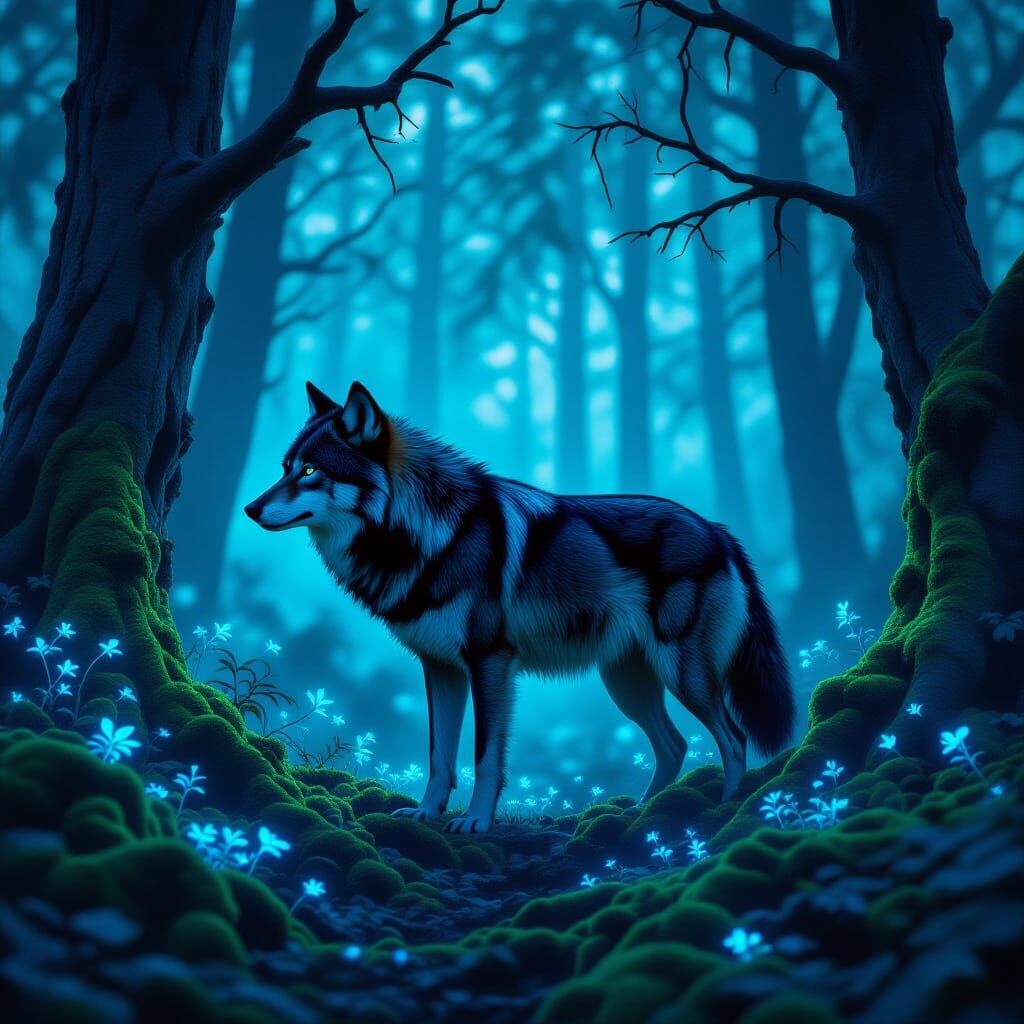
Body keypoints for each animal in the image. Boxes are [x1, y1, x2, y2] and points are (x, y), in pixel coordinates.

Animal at [245, 381, 795, 833]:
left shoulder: (490, 663)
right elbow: (439, 755)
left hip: (683, 676)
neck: (427, 535)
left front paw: (474, 822)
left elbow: (485, 755)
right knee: (675, 745)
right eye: (284, 468)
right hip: (627, 684)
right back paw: (643, 815)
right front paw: (425, 814)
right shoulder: (440, 668)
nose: (249, 509)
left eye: (310, 470)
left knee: (733, 739)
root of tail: (719, 531)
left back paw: (724, 814)